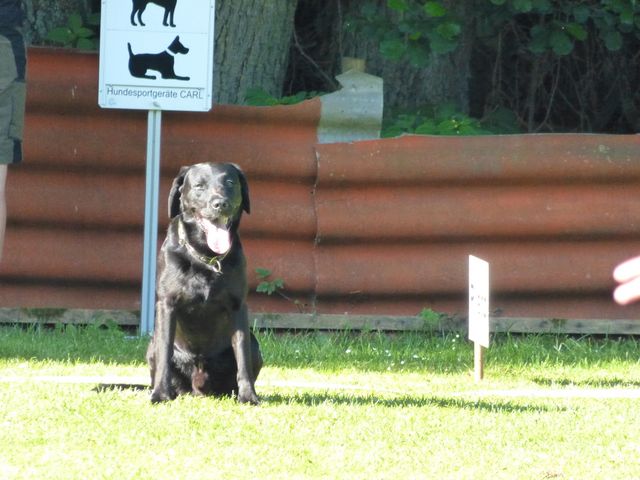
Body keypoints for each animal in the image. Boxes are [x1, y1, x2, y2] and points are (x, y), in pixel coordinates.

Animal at [147, 163, 261, 405]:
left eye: (230, 183)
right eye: (199, 186)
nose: (220, 204)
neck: (207, 257)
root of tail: (198, 389)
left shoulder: (238, 307)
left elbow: (242, 357)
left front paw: (248, 396)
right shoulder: (167, 305)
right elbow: (164, 354)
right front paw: (160, 394)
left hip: (256, 346)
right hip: (151, 345)